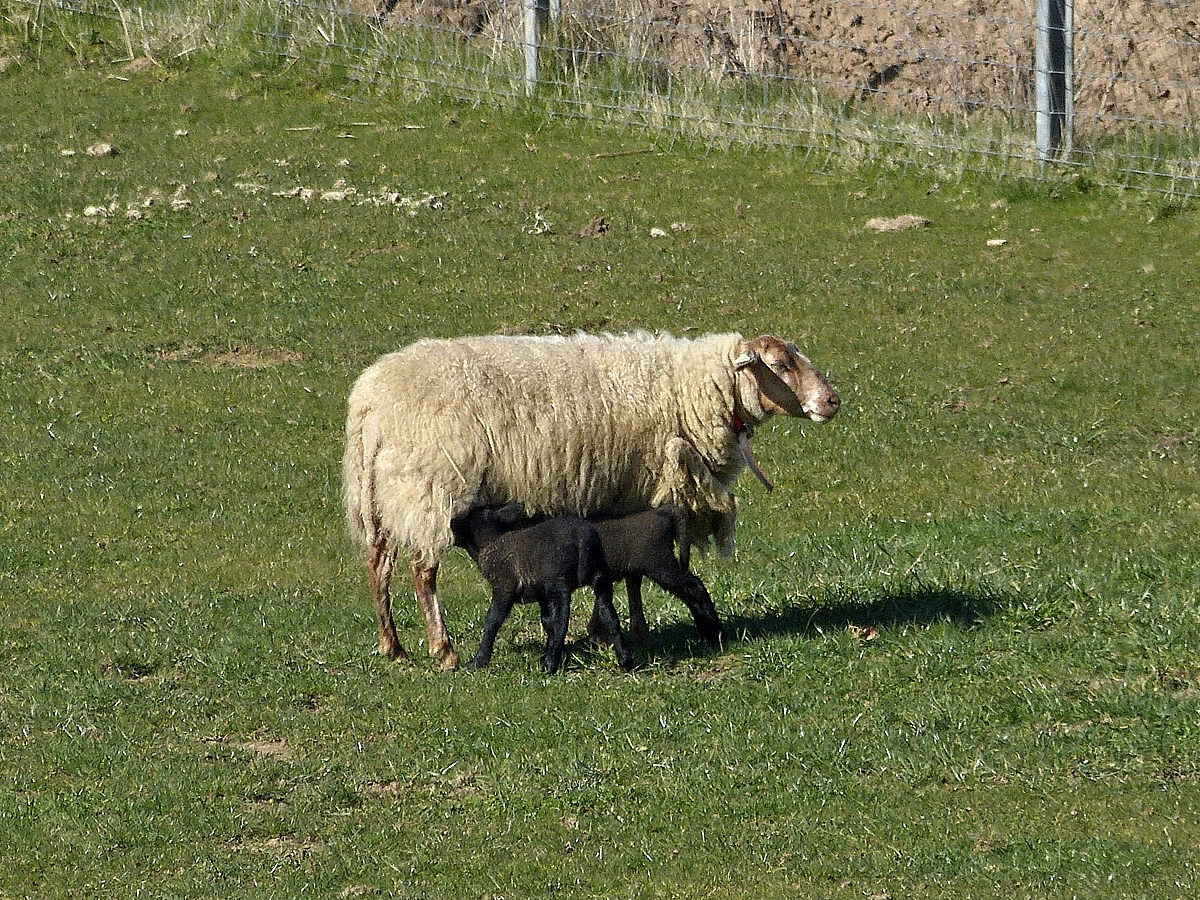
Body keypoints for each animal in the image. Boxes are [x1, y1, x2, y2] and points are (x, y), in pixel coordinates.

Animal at [343, 331, 840, 672]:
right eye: (781, 364)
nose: (833, 401)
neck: (692, 388)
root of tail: (370, 403)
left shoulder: (625, 494)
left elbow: (628, 570)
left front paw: (618, 630)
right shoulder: (643, 486)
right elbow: (632, 569)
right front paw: (626, 631)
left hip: (383, 496)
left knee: (379, 566)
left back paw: (392, 646)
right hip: (429, 489)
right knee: (421, 572)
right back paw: (442, 649)